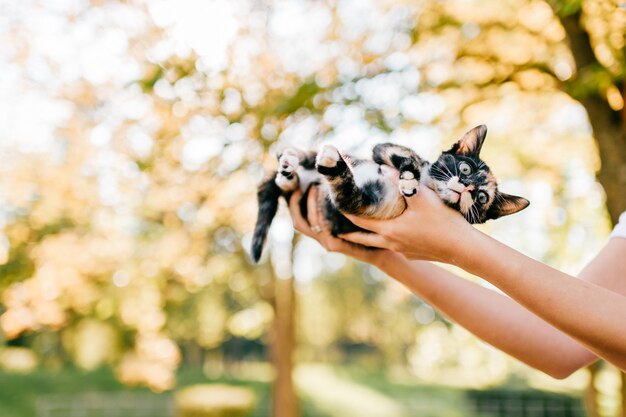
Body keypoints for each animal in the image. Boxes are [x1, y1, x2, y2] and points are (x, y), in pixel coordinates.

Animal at [249, 123, 528, 262]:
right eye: (465, 168)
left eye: (482, 198)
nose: (468, 188)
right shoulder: (382, 150)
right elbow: (404, 155)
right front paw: (409, 177)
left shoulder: (360, 207)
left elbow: (345, 191)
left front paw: (333, 165)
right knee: (299, 158)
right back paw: (289, 162)